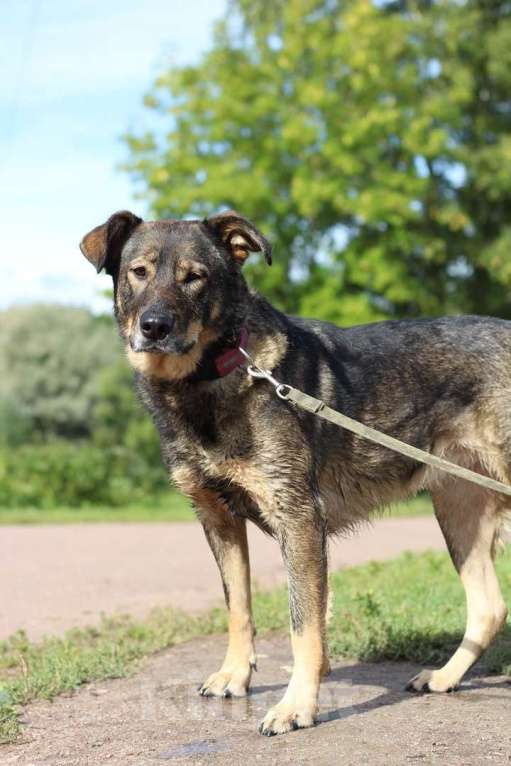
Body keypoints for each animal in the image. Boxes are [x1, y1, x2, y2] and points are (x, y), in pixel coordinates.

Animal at [80, 210, 511, 736]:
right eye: (138, 272)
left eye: (194, 277)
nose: (154, 326)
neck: (211, 378)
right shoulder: (218, 519)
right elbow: (239, 606)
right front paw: (235, 675)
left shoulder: (299, 519)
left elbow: (302, 623)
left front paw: (296, 706)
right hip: (458, 510)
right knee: (489, 608)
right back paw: (445, 678)